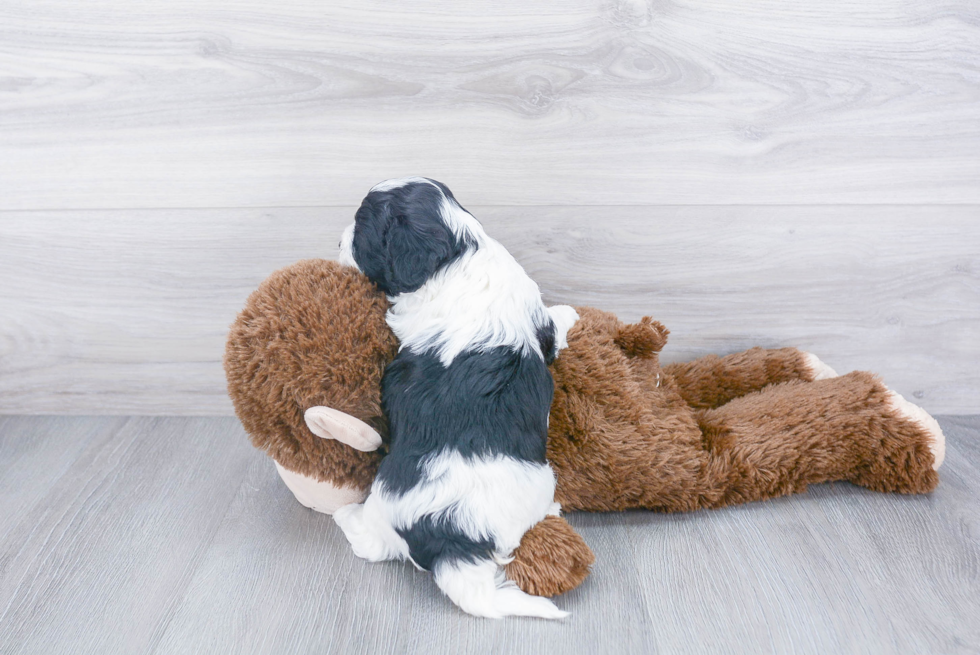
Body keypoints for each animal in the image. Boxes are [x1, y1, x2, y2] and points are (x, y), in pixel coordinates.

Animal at [334, 177, 580, 616]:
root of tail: (451, 538)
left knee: (371, 544)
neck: (458, 255)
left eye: (360, 228)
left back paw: (346, 515)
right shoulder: (540, 324)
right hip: (539, 483)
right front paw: (571, 313)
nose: (338, 240)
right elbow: (555, 326)